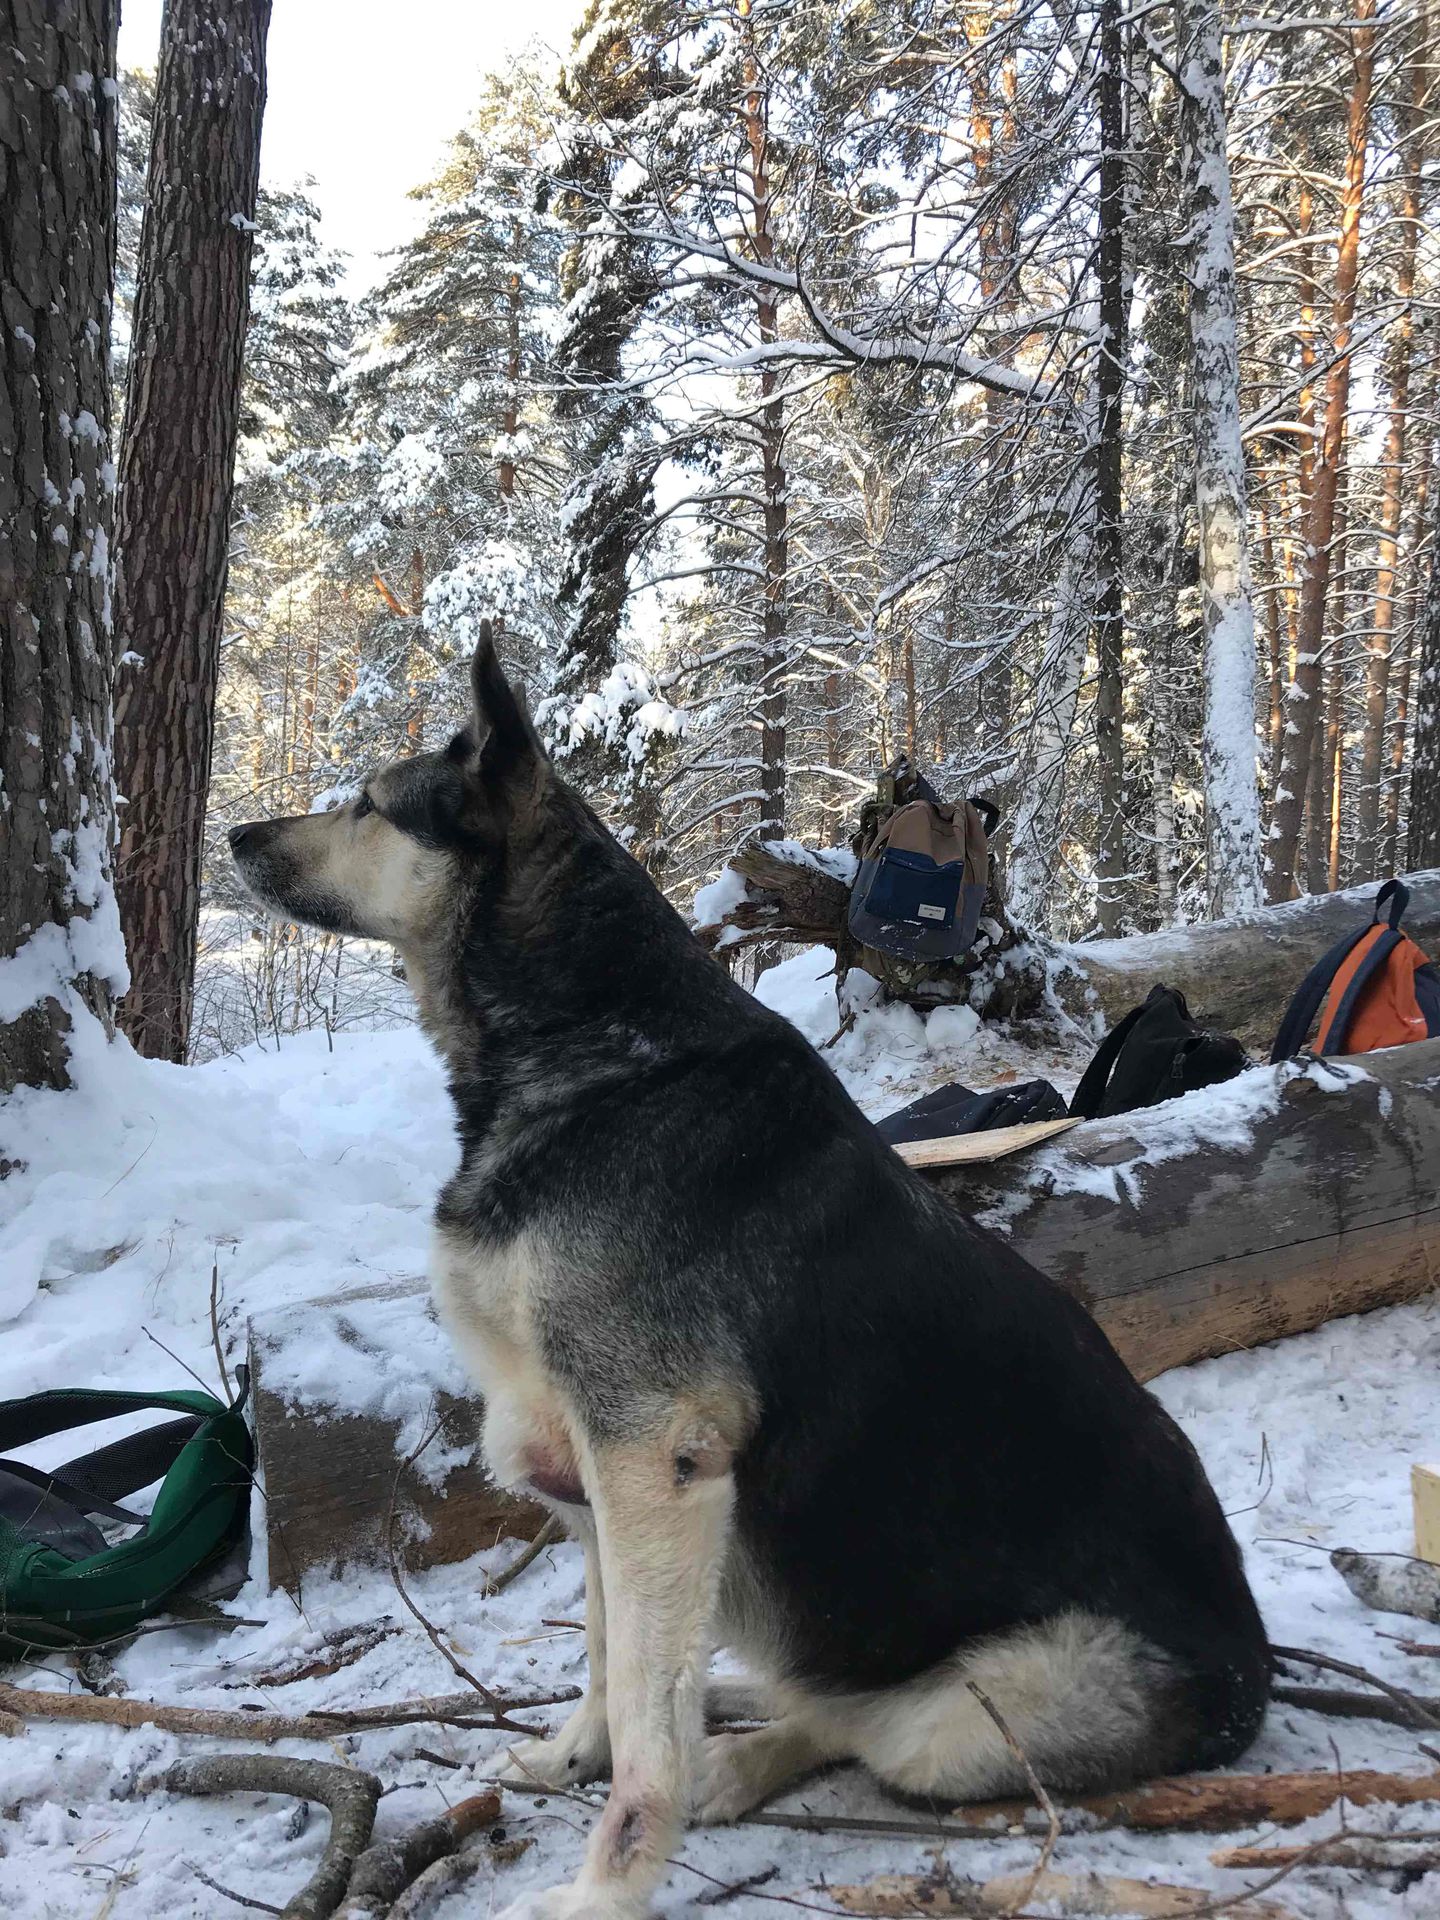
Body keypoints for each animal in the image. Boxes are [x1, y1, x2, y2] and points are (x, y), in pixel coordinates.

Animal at [231, 629, 1267, 1920]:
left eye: (369, 805)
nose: (236, 838)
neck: (598, 1043)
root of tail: (1257, 1678)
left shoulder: (654, 1466)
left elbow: (646, 1722)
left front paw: (606, 1888)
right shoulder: (590, 1471)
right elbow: (609, 1667)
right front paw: (572, 1757)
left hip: (970, 1716)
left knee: (861, 1725)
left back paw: (735, 1760)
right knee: (815, 1699)